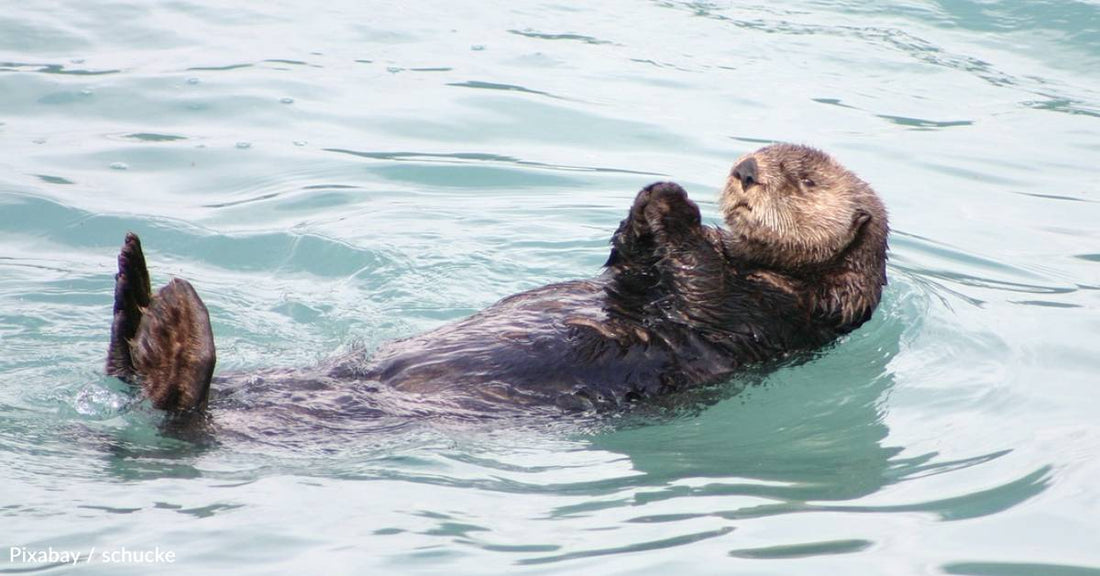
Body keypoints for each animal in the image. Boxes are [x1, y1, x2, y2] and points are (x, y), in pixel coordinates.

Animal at [105, 144, 888, 416]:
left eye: (806, 178)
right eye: (757, 150)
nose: (745, 170)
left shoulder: (778, 314)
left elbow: (699, 285)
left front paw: (672, 205)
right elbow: (629, 270)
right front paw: (648, 206)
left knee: (184, 409)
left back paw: (170, 330)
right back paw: (136, 294)